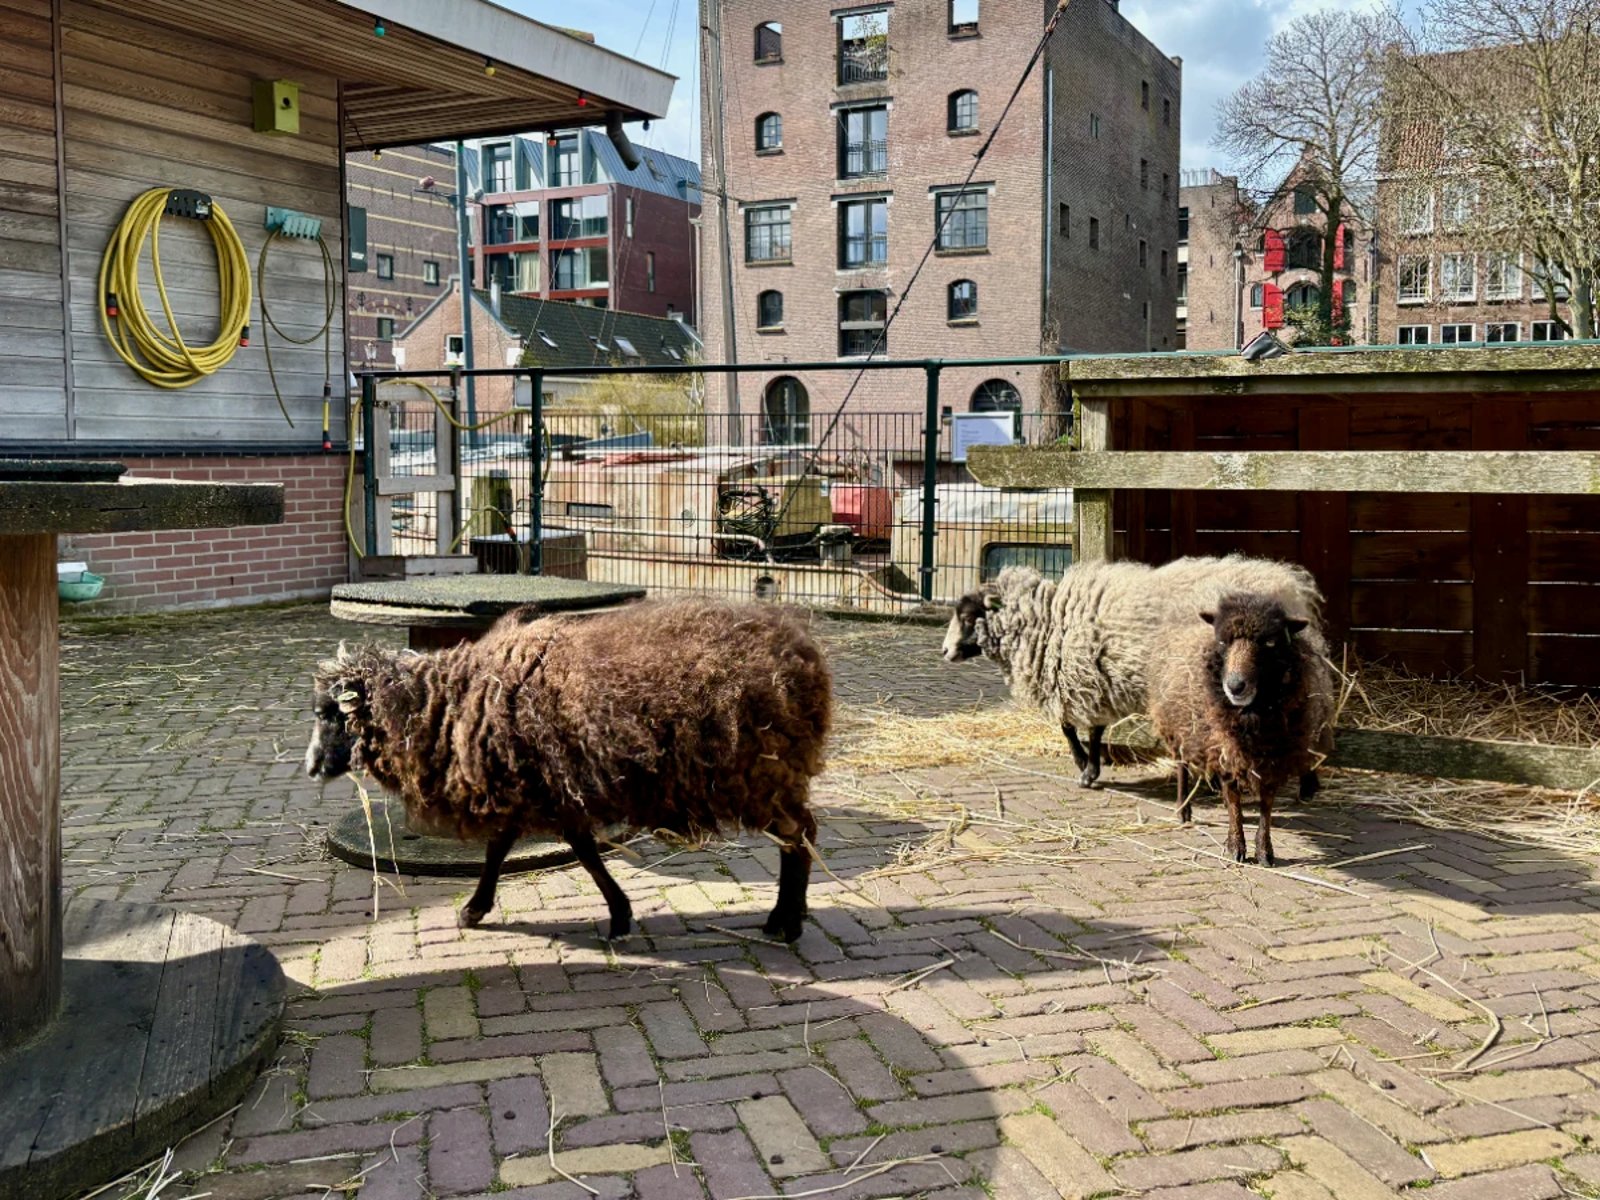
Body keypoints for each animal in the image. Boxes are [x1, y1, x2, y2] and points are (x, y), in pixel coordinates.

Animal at [303, 596, 833, 942]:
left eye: (329, 714)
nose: (310, 767)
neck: (447, 704)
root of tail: (801, 651)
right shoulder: (539, 786)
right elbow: (526, 849)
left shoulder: (540, 785)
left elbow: (570, 852)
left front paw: (615, 917)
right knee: (800, 834)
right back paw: (788, 917)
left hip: (760, 776)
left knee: (800, 835)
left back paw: (786, 922)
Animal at [942, 555, 1328, 794]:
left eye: (967, 616)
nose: (944, 652)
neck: (1048, 620)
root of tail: (1291, 587)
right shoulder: (1095, 682)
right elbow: (1092, 730)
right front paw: (1091, 766)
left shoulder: (1079, 680)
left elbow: (1072, 729)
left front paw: (1086, 769)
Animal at [1147, 591, 1337, 865]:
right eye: (1222, 641)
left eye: (1270, 642)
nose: (1235, 686)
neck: (1252, 717)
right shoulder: (1223, 750)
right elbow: (1234, 799)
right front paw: (1235, 845)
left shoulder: (1274, 753)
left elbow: (1266, 803)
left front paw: (1264, 850)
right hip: (1180, 727)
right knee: (1182, 764)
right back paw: (1183, 808)